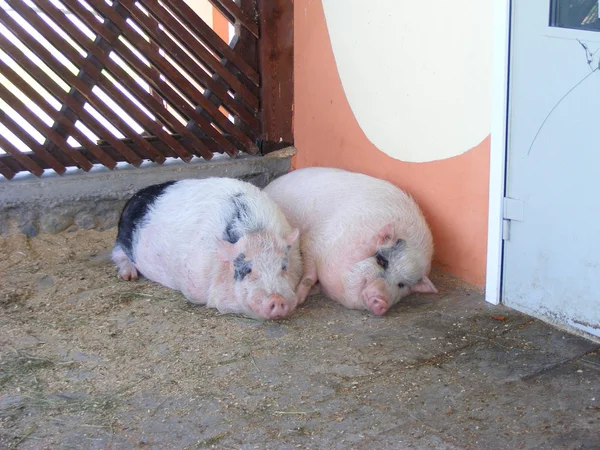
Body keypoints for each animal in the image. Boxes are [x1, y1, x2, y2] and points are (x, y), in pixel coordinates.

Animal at [110, 178, 302, 322]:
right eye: (247, 270)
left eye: (284, 267)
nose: (277, 299)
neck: (257, 231)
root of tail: (133, 198)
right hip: (122, 240)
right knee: (117, 254)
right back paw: (129, 277)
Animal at [264, 167, 438, 314]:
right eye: (381, 260)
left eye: (402, 284)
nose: (381, 301)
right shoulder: (312, 242)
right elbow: (309, 276)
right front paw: (299, 300)